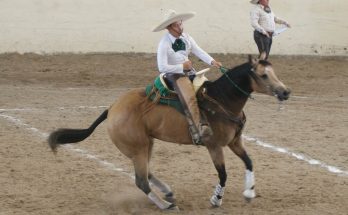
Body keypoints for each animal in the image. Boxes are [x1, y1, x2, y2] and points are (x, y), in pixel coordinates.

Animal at [47, 54, 290, 211]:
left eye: (274, 72)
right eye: (263, 75)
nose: (286, 92)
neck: (221, 100)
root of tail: (112, 108)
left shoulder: (235, 142)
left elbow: (249, 162)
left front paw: (249, 193)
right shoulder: (214, 146)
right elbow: (223, 174)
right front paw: (216, 200)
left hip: (146, 144)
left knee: (146, 173)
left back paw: (168, 193)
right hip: (138, 148)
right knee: (141, 181)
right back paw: (165, 204)